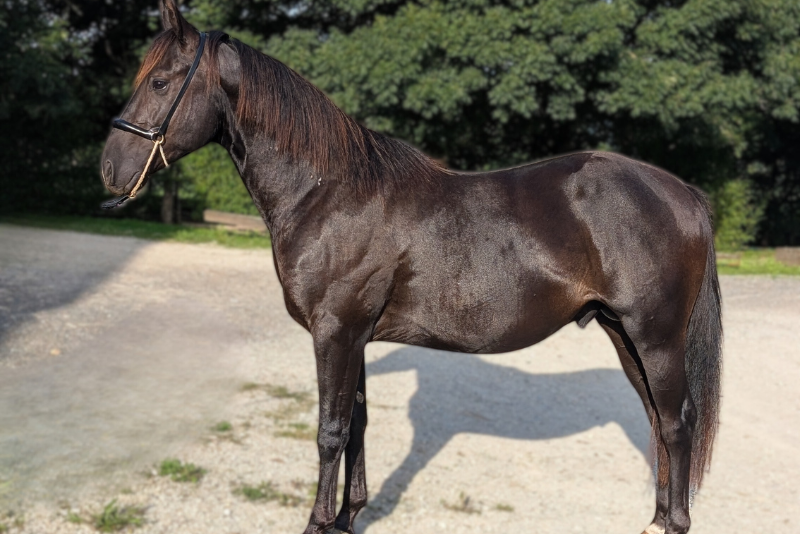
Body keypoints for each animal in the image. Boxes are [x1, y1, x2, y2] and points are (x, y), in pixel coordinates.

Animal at [99, 2, 722, 533]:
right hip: (624, 336)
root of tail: (683, 193)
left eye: (160, 82)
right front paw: (347, 517)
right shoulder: (354, 337)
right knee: (656, 422)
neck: (331, 194)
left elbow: (329, 432)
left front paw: (318, 523)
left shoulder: (335, 332)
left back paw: (673, 522)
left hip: (655, 337)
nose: (109, 168)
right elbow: (356, 426)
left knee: (676, 422)